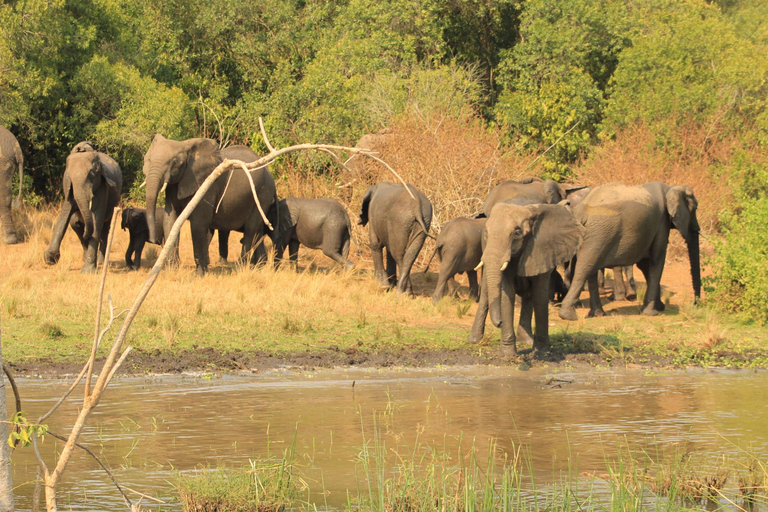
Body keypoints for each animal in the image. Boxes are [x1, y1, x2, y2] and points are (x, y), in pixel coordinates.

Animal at [44, 142, 122, 272]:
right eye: (69, 176)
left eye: (91, 174)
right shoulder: (69, 188)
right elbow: (65, 215)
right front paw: (50, 258)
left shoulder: (102, 186)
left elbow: (97, 219)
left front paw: (88, 271)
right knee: (75, 224)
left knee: (105, 227)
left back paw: (100, 261)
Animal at [142, 134, 280, 274]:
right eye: (149, 159)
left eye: (174, 162)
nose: (152, 240)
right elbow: (170, 220)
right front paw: (171, 270)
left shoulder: (207, 185)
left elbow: (198, 224)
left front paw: (198, 274)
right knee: (258, 231)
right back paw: (261, 267)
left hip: (262, 194)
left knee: (251, 229)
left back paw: (242, 267)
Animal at [464, 202, 584, 354]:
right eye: (486, 233)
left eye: (516, 233)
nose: (500, 323)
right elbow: (507, 294)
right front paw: (508, 355)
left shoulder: (543, 252)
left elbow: (539, 295)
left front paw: (543, 352)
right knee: (486, 292)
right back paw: (474, 340)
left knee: (529, 297)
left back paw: (526, 341)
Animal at [560, 181, 704, 320]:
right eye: (695, 208)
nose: (695, 303)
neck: (670, 188)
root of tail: (581, 211)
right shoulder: (661, 223)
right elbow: (656, 260)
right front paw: (652, 312)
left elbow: (645, 265)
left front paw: (659, 307)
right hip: (599, 234)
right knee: (585, 268)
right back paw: (568, 316)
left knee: (591, 269)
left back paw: (597, 314)